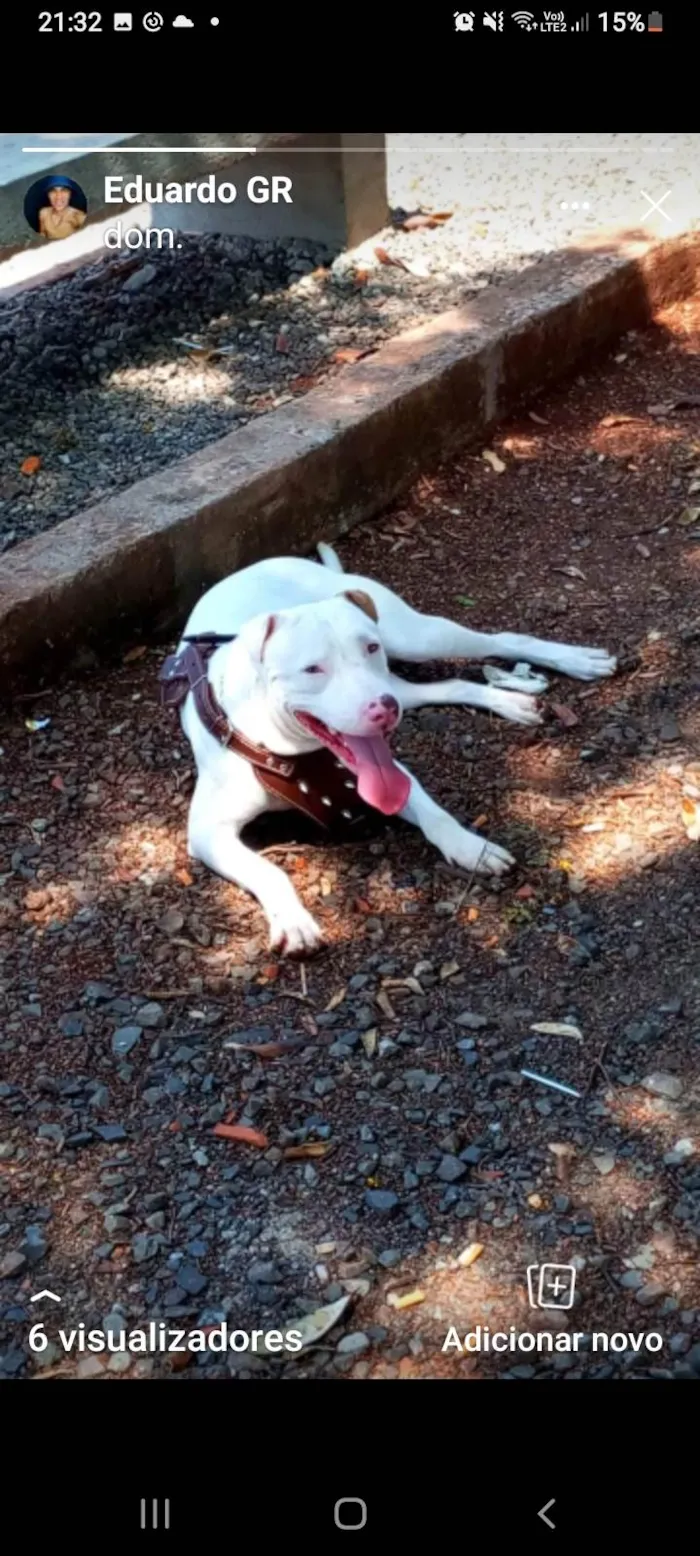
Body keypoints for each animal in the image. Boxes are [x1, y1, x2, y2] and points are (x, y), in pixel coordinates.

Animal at [171, 547, 616, 958]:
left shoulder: (391, 772)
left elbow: (435, 814)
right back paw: (512, 703)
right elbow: (267, 870)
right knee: (449, 685)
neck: (293, 751)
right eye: (312, 669)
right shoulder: (209, 833)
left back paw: (575, 659)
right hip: (403, 677)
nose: (382, 707)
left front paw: (469, 846)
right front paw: (293, 920)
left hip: (414, 640)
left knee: (502, 641)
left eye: (369, 647)